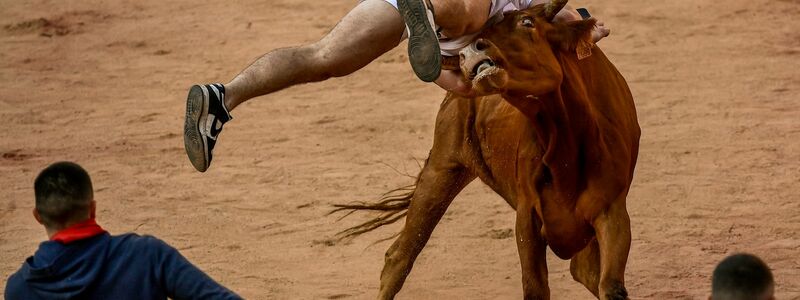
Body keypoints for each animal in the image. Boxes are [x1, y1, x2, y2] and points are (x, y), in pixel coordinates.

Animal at [334, 1, 640, 298]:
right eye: (486, 32)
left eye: (527, 21)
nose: (468, 52)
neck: (569, 144)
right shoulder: (527, 217)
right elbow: (535, 287)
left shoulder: (612, 212)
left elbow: (610, 286)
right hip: (442, 170)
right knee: (400, 257)